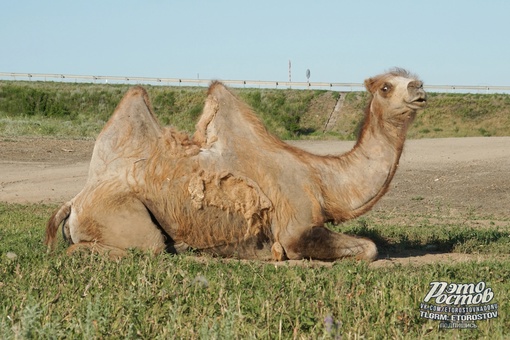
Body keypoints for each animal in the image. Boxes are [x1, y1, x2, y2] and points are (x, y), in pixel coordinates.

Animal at [44, 67, 426, 262]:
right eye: (386, 87)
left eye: (411, 78)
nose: (420, 87)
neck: (322, 179)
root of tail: (75, 200)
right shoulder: (295, 228)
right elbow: (369, 249)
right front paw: (275, 254)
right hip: (117, 213)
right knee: (140, 246)